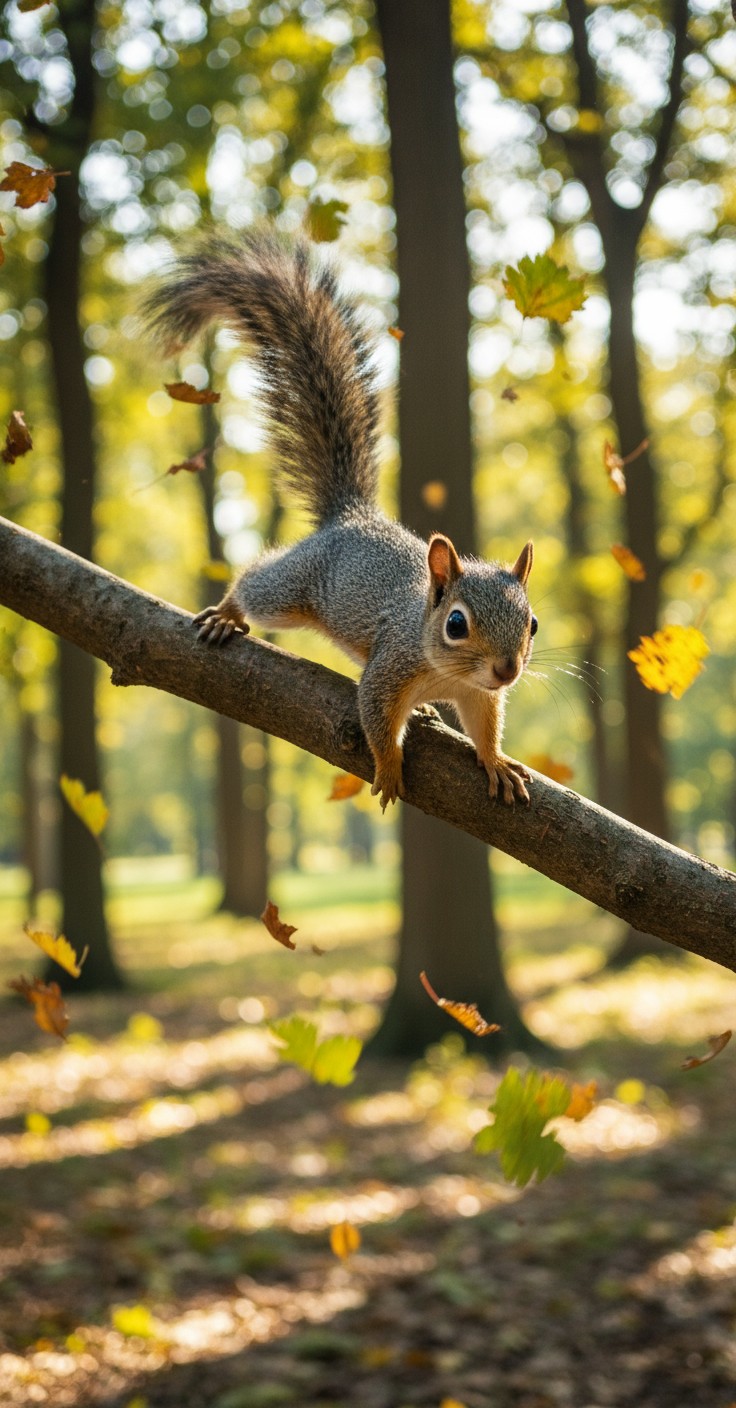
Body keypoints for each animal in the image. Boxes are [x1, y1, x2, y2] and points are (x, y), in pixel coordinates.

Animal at [145, 231, 537, 810]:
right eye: (456, 624)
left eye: (532, 623)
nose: (507, 669)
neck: (444, 671)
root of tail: (349, 516)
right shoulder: (388, 669)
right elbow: (374, 721)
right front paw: (390, 767)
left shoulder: (478, 696)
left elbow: (485, 728)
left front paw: (496, 762)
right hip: (293, 590)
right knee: (258, 584)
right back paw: (228, 614)